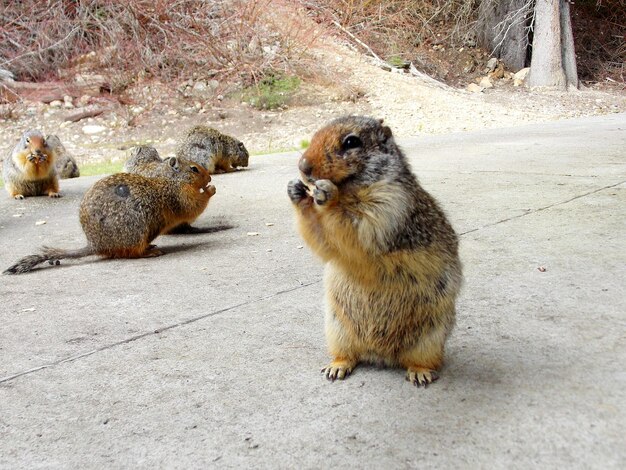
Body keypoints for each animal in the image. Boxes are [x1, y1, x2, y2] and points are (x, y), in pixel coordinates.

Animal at [4, 159, 214, 276]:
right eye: (194, 169)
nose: (210, 177)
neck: (170, 179)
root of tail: (95, 245)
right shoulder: (178, 196)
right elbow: (192, 206)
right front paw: (210, 190)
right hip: (135, 231)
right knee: (130, 254)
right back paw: (150, 252)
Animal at [286, 115, 458, 388]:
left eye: (351, 142)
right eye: (313, 135)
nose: (303, 167)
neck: (349, 191)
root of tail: (380, 355)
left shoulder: (388, 204)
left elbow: (357, 228)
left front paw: (326, 193)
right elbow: (324, 242)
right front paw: (296, 191)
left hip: (431, 337)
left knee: (423, 360)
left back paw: (420, 373)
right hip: (337, 331)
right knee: (349, 355)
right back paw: (337, 366)